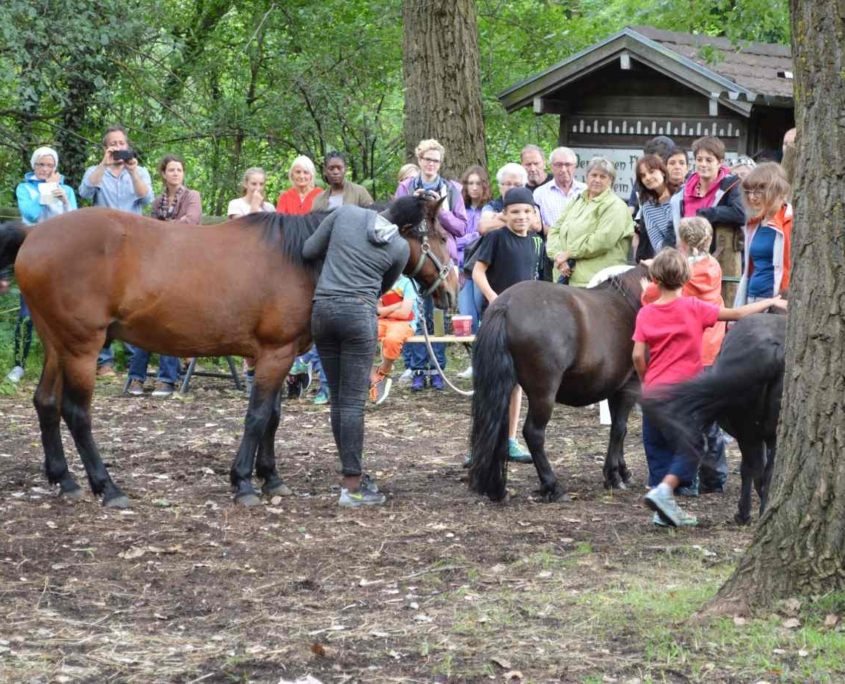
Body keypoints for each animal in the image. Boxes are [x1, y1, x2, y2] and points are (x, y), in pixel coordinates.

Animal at [0, 198, 458, 508]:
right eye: (439, 236)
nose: (452, 290)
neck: (299, 257)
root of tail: (34, 234)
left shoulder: (275, 356)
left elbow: (272, 417)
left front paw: (270, 477)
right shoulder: (274, 354)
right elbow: (257, 417)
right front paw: (244, 482)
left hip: (57, 344)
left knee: (45, 403)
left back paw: (65, 480)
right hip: (81, 347)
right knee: (76, 413)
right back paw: (106, 487)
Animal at [468, 268, 648, 502]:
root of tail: (505, 305)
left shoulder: (615, 388)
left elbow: (619, 430)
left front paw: (621, 471)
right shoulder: (630, 386)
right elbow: (619, 429)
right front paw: (614, 476)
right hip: (543, 392)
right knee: (534, 433)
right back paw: (552, 485)